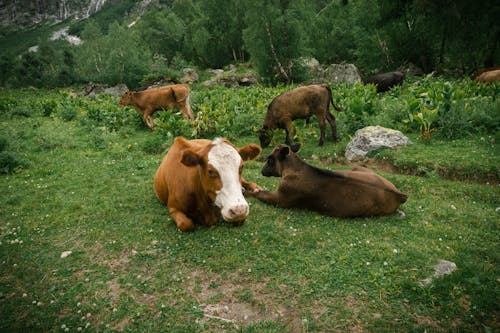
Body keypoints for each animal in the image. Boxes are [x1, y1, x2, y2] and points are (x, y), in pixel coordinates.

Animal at [246, 143, 406, 218]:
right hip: (357, 168)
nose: (262, 171)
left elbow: (259, 193)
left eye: (270, 159)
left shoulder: (280, 198)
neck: (295, 168)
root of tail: (400, 194)